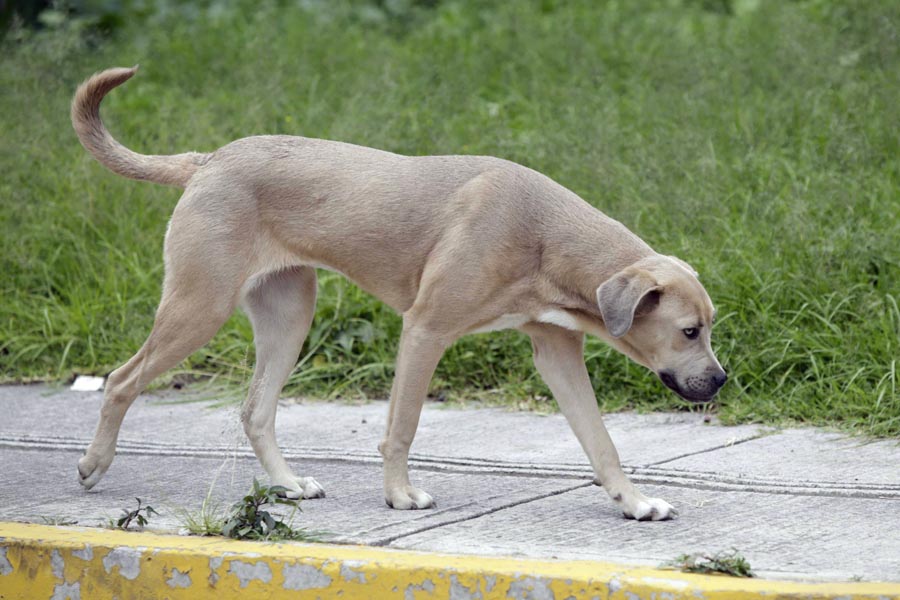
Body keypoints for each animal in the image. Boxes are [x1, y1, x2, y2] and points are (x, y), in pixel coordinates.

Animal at [74, 67, 728, 520]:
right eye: (689, 331)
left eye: (709, 326)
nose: (721, 380)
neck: (545, 237)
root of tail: (209, 160)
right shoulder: (425, 331)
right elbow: (402, 428)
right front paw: (399, 495)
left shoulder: (557, 352)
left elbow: (601, 441)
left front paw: (634, 503)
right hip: (200, 306)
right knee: (122, 381)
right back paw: (93, 464)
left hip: (289, 314)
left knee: (255, 410)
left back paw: (288, 484)